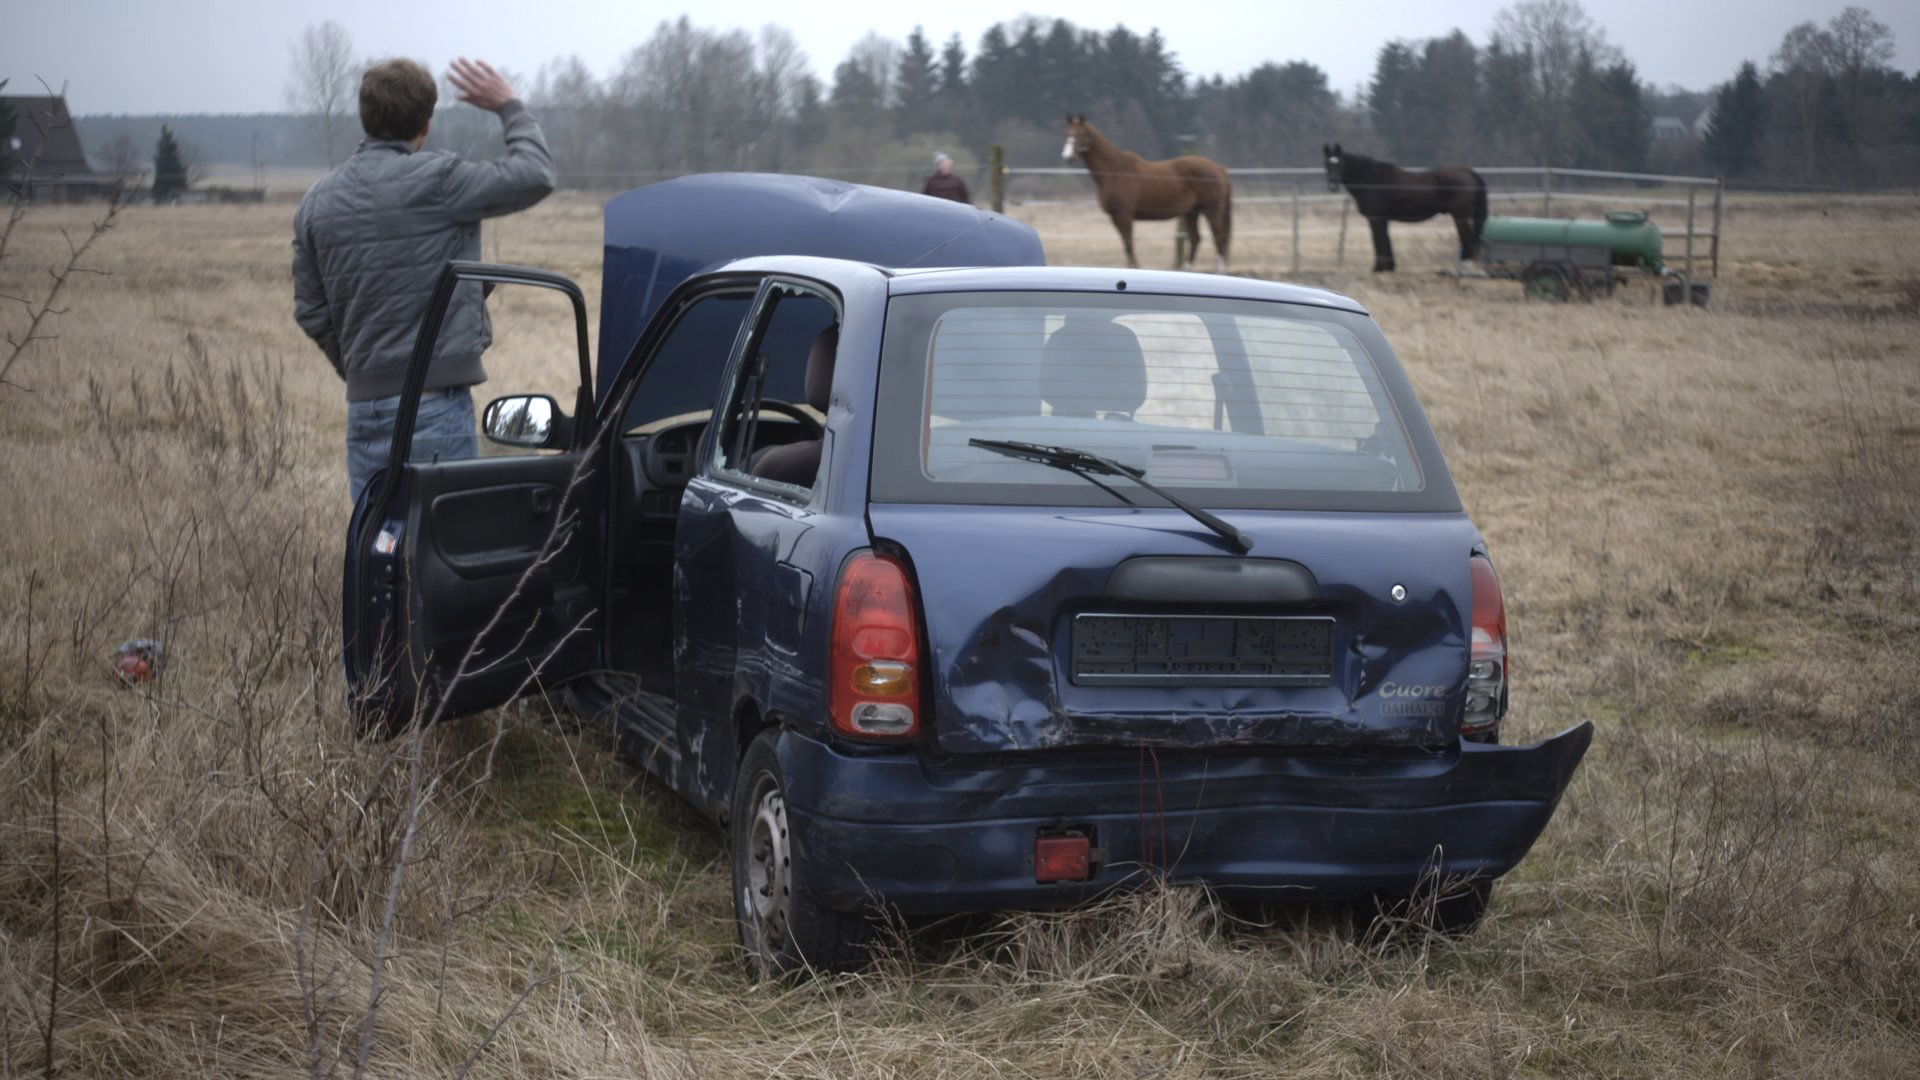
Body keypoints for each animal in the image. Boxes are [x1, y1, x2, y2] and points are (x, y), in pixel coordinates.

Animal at [1067, 113, 1228, 270]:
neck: (1115, 171)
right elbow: (1126, 243)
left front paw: (1134, 267)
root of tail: (1217, 167)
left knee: (1218, 237)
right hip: (1192, 212)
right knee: (1196, 238)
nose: (1067, 157)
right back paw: (1187, 268)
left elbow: (1128, 242)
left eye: (1080, 133)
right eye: (1066, 133)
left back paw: (1219, 270)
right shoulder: (1115, 216)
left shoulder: (1124, 215)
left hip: (1211, 211)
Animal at [1328, 143, 1489, 270]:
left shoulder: (1376, 219)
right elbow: (1385, 240)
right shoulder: (1383, 219)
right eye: (1327, 164)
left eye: (1340, 164)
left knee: (1468, 238)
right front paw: (1389, 267)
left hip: (1460, 216)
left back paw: (1465, 266)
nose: (1332, 186)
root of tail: (1469, 172)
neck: (1372, 180)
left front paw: (1379, 268)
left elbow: (1378, 240)